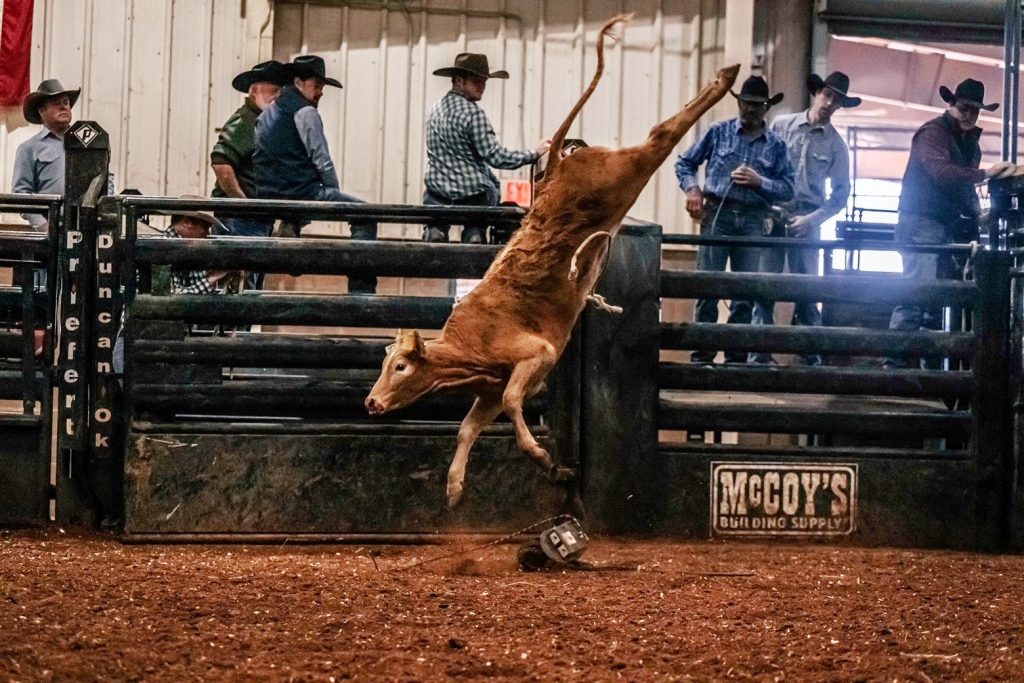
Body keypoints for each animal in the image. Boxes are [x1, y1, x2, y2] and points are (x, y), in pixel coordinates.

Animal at [366, 13, 739, 508]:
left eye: (401, 367)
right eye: (385, 364)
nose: (371, 402)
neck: (468, 348)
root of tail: (561, 162)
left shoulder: (535, 358)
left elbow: (512, 404)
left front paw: (546, 459)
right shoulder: (488, 390)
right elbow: (468, 428)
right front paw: (455, 488)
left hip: (626, 170)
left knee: (661, 134)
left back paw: (725, 77)